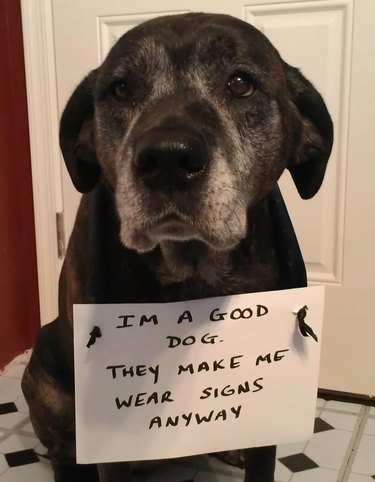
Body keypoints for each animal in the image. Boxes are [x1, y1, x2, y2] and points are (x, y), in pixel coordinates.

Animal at [22, 11, 334, 482]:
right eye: (121, 88)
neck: (190, 267)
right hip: (43, 369)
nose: (168, 159)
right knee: (62, 449)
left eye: (240, 83)